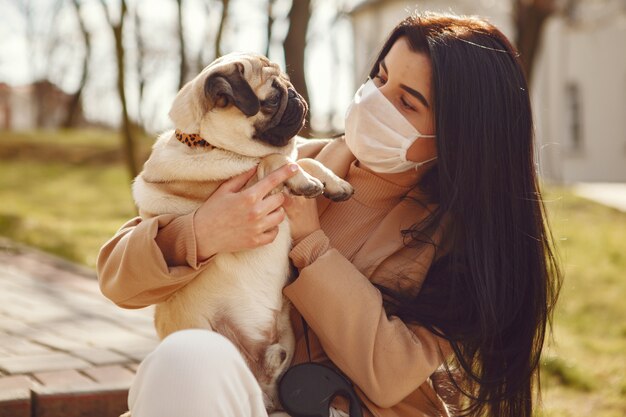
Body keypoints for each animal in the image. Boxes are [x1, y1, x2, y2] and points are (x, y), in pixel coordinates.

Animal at [130, 52, 352, 410]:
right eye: (272, 98)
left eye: (287, 85)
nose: (297, 96)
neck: (211, 145)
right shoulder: (246, 186)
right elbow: (276, 161)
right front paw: (302, 181)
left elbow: (305, 160)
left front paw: (333, 183)